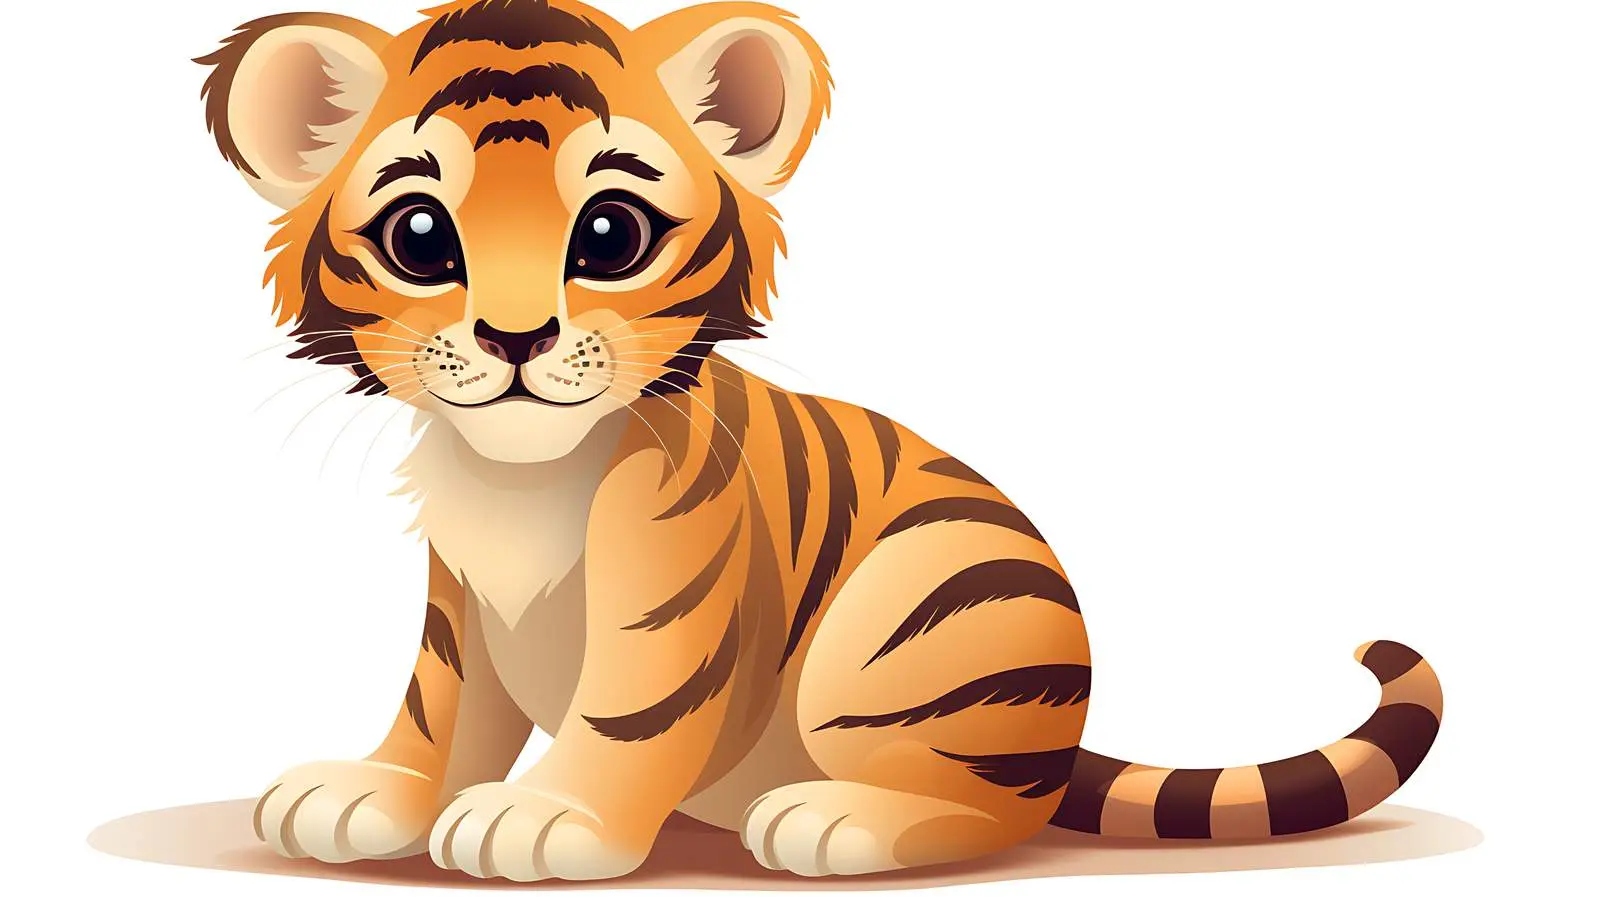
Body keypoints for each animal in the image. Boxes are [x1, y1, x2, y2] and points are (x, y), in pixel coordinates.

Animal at [195, 0, 1444, 882]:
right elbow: (438, 707)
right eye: (421, 237)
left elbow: (630, 710)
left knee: (992, 808)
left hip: (906, 611)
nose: (512, 337)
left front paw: (549, 815)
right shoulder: (463, 595)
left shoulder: (670, 590)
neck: (518, 474)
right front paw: (374, 794)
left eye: (608, 235)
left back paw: (830, 819)